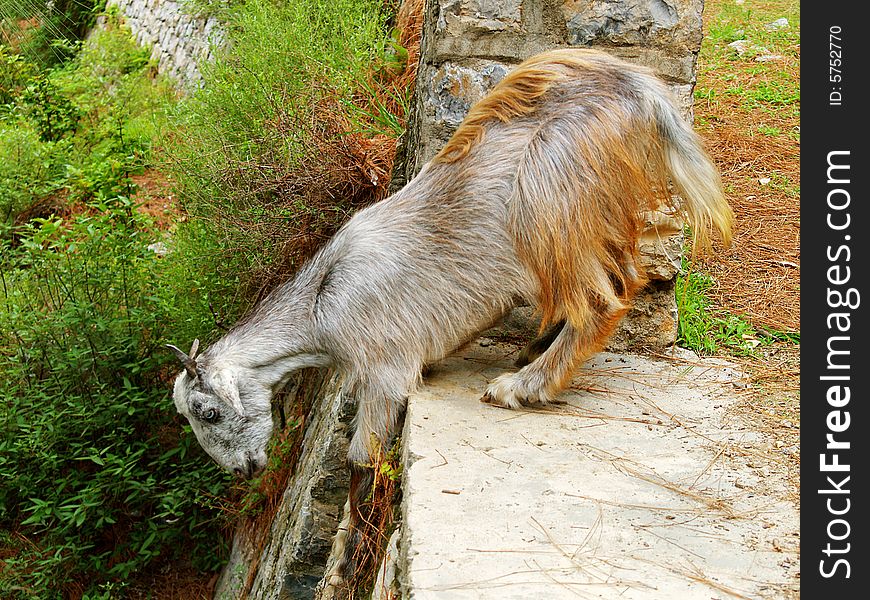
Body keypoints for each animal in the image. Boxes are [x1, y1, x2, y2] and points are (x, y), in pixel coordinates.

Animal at [167, 48, 732, 592]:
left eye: (207, 412)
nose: (244, 468)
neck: (322, 304)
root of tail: (638, 90)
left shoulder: (385, 367)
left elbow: (361, 461)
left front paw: (347, 564)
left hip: (550, 197)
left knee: (602, 300)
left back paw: (523, 385)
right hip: (593, 212)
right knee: (617, 278)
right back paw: (533, 353)